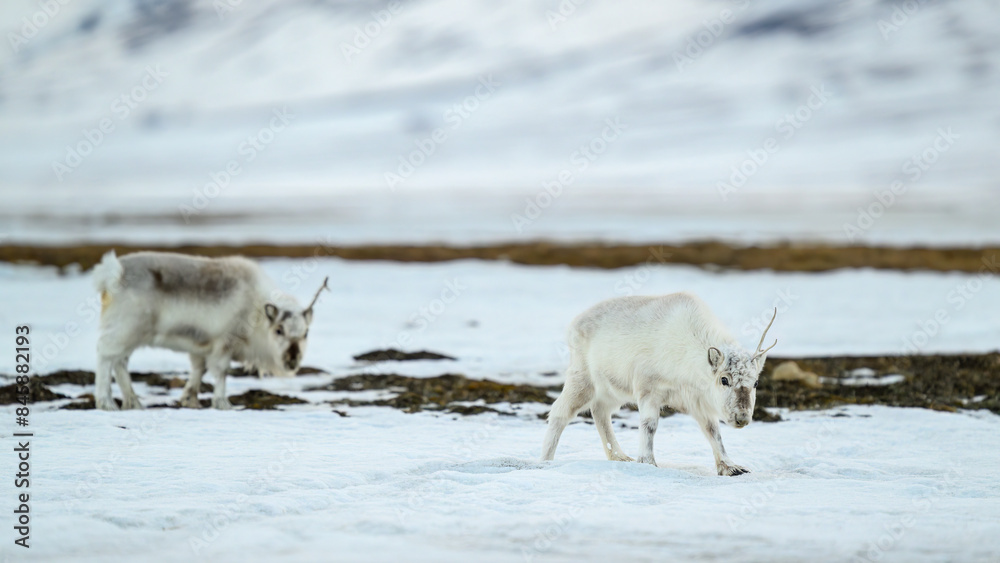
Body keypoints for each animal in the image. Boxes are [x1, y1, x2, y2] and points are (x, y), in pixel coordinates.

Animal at [91, 250, 329, 410]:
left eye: (305, 333)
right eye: (279, 330)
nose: (292, 360)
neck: (257, 311)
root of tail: (113, 274)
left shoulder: (200, 347)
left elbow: (199, 370)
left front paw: (190, 400)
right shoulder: (224, 343)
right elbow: (221, 372)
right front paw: (223, 403)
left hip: (132, 336)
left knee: (120, 362)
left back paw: (133, 403)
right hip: (124, 330)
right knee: (105, 356)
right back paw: (107, 403)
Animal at [540, 293, 777, 476]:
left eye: (756, 382)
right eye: (724, 379)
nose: (742, 418)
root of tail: (573, 324)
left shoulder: (696, 400)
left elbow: (713, 432)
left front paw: (730, 467)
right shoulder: (648, 389)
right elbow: (649, 425)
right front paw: (648, 462)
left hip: (612, 390)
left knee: (600, 411)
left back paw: (619, 456)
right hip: (583, 379)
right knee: (560, 411)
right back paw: (545, 460)